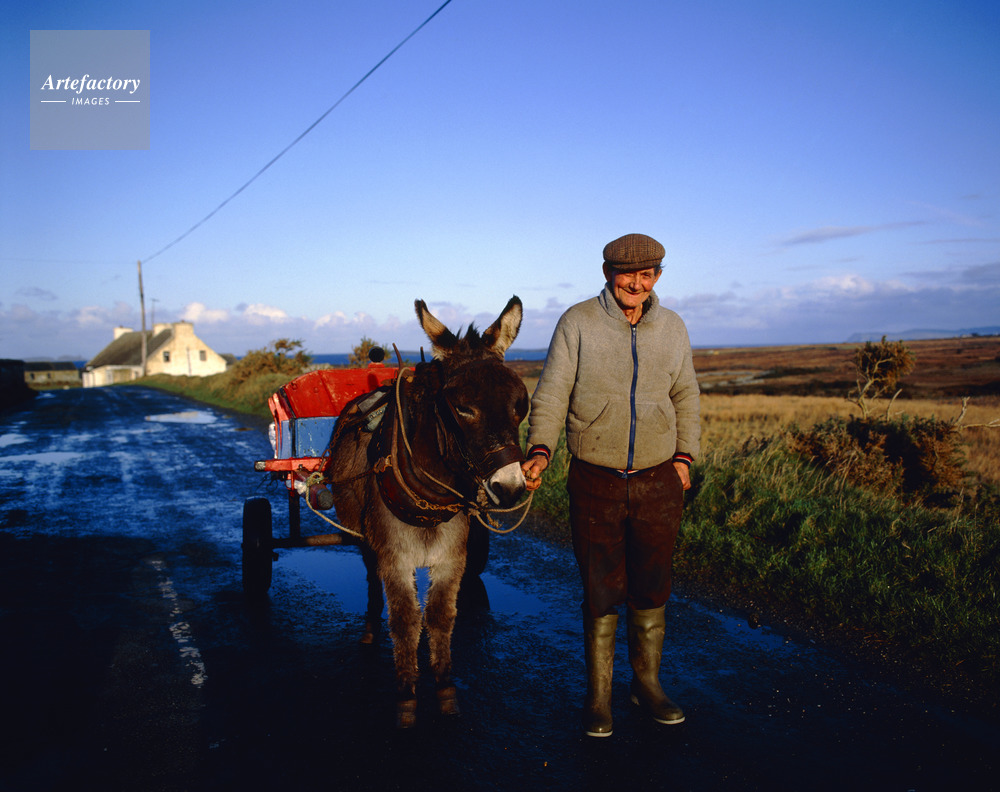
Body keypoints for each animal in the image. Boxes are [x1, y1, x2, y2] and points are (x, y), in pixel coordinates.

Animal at [324, 296, 529, 728]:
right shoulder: (394, 557)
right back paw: (369, 631)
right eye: (461, 407)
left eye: (520, 403)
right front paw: (406, 696)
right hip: (366, 541)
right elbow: (404, 620)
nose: (510, 487)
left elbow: (439, 617)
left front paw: (445, 689)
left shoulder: (452, 558)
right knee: (372, 583)